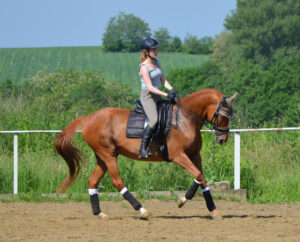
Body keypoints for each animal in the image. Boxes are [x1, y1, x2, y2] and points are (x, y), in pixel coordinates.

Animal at [54, 88, 237, 219]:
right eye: (223, 116)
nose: (222, 140)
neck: (185, 119)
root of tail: (88, 118)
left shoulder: (194, 155)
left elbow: (202, 178)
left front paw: (213, 211)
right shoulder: (178, 155)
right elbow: (198, 175)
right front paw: (182, 201)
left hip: (103, 157)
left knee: (93, 181)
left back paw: (99, 213)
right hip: (108, 155)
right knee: (117, 182)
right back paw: (142, 210)